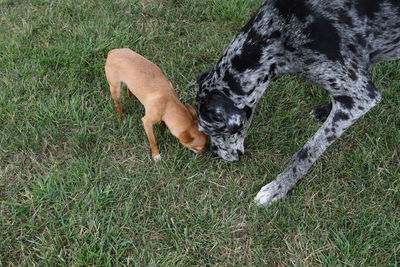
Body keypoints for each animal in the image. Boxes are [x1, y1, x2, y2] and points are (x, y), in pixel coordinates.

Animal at [195, 0, 398, 206]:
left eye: (214, 131)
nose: (213, 153)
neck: (282, 30)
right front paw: (327, 109)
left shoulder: (361, 96)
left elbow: (307, 151)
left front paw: (278, 187)